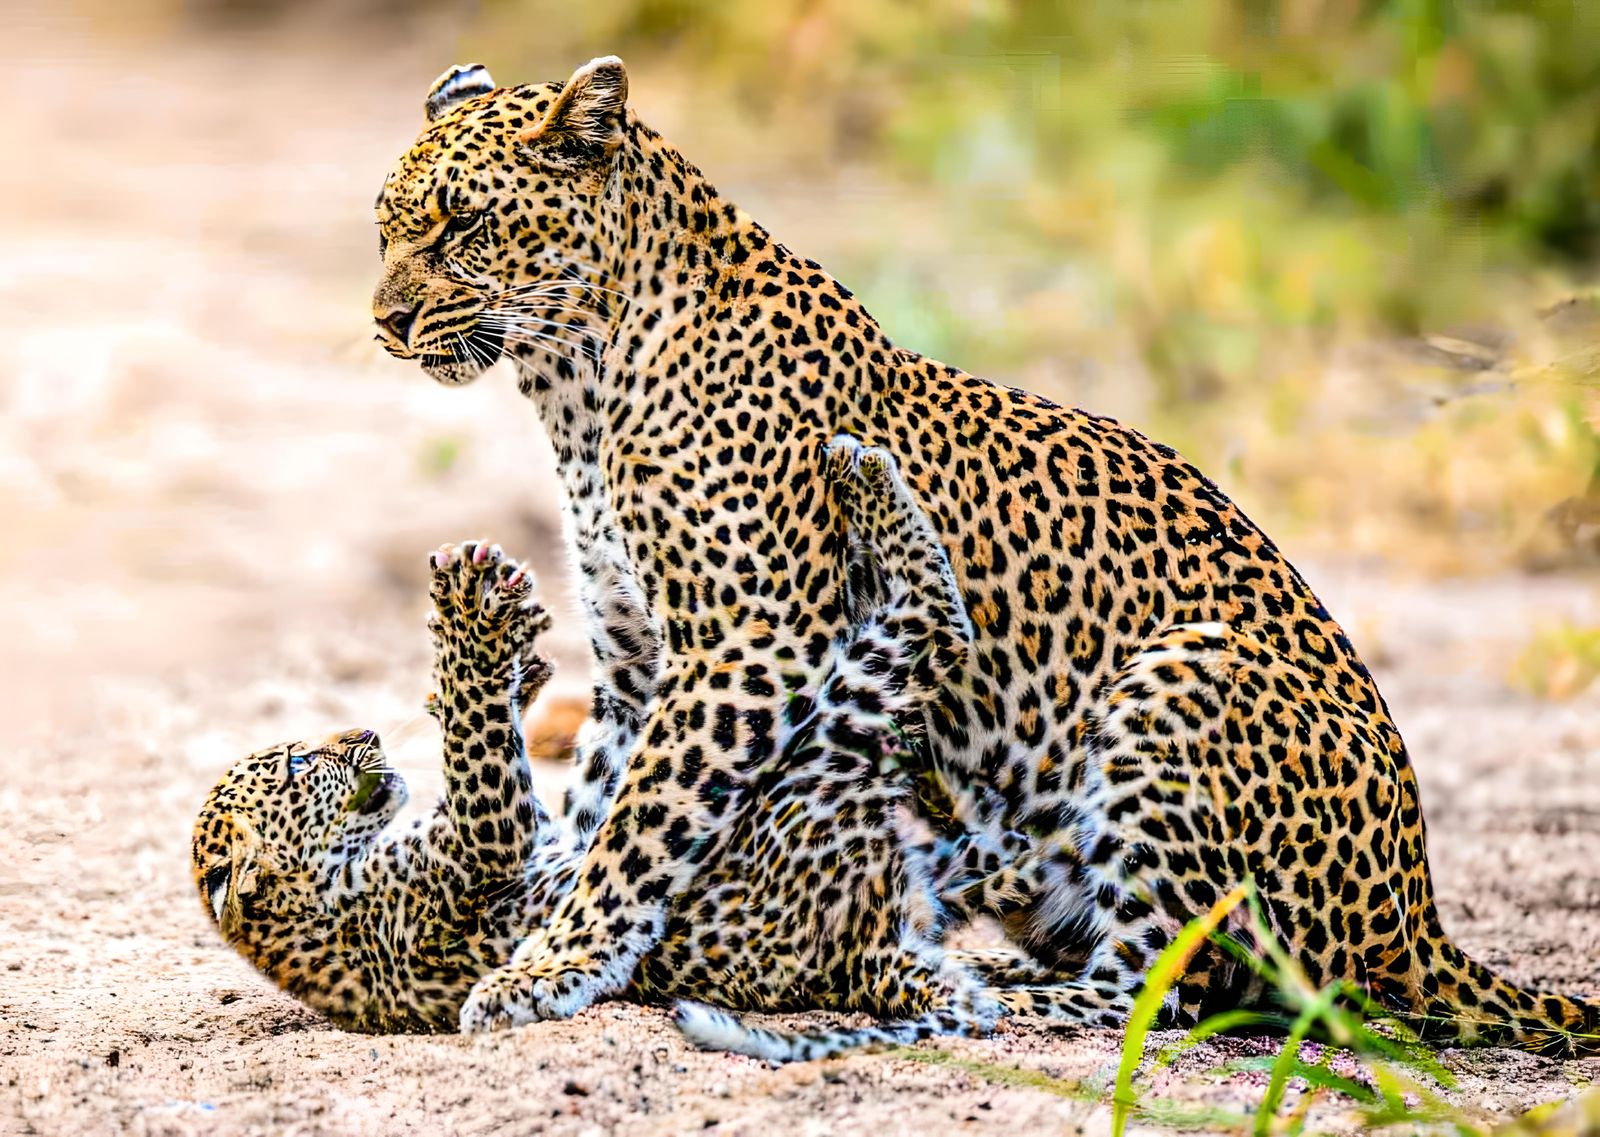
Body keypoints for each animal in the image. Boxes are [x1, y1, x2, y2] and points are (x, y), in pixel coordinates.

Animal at [191, 443, 1086, 1058]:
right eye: (301, 765)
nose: (364, 735)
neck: (315, 912)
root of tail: (860, 955)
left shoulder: (546, 832)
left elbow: (519, 762)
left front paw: (513, 653)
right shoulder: (480, 847)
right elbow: (480, 764)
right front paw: (472, 633)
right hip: (824, 740)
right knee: (928, 626)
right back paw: (867, 479)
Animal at [368, 55, 1599, 1054]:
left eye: (460, 226)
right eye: (383, 227)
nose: (383, 321)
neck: (575, 388)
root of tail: (1421, 917)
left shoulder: (751, 642)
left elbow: (639, 825)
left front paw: (552, 963)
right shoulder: (635, 663)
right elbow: (600, 806)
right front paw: (537, 931)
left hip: (1183, 677)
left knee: (1171, 985)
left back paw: (981, 988)